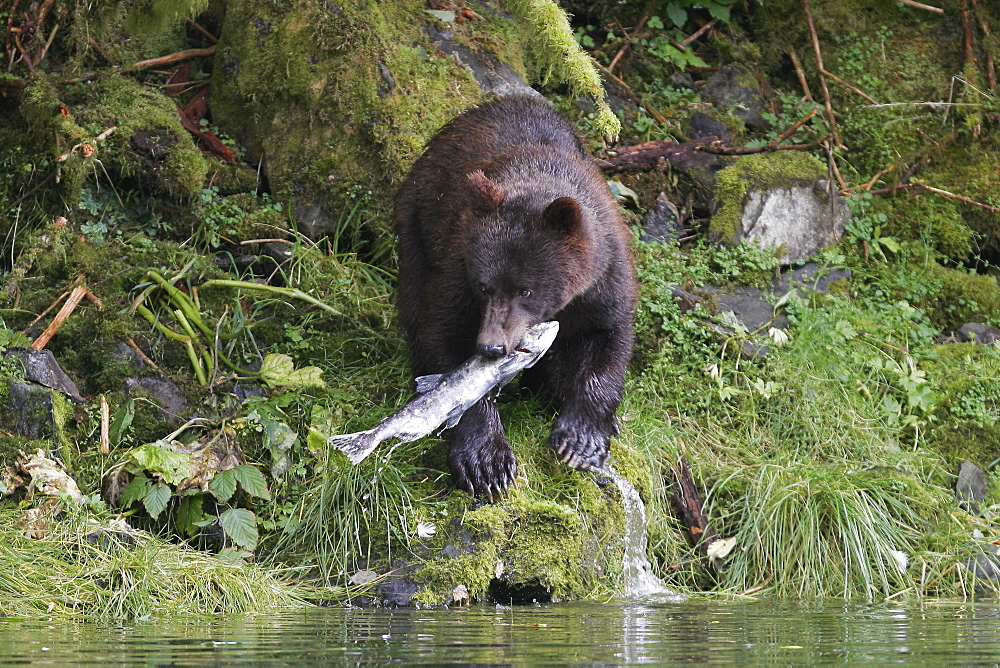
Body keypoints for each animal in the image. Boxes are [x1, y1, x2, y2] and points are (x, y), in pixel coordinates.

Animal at [394, 96, 636, 498]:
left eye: (526, 289)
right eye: (484, 286)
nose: (491, 346)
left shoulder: (604, 278)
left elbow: (608, 338)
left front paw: (581, 440)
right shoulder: (458, 261)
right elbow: (445, 333)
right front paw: (487, 463)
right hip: (417, 225)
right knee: (414, 303)